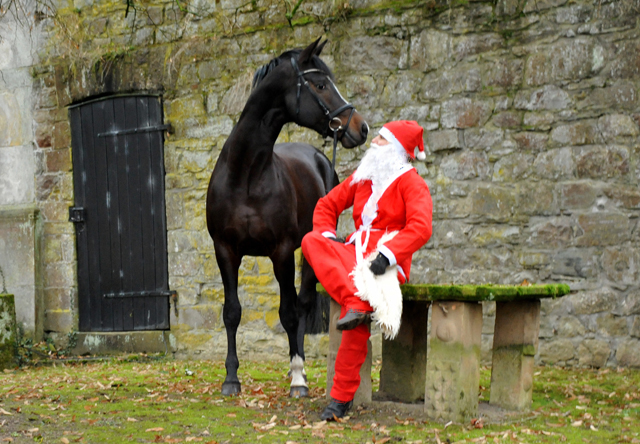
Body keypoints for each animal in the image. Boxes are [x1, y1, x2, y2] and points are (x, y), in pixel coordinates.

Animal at [208, 40, 368, 398]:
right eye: (320, 85)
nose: (360, 127)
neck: (246, 174)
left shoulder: (280, 252)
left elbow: (290, 313)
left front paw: (298, 377)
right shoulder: (225, 250)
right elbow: (232, 312)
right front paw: (231, 379)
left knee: (303, 304)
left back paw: (301, 368)